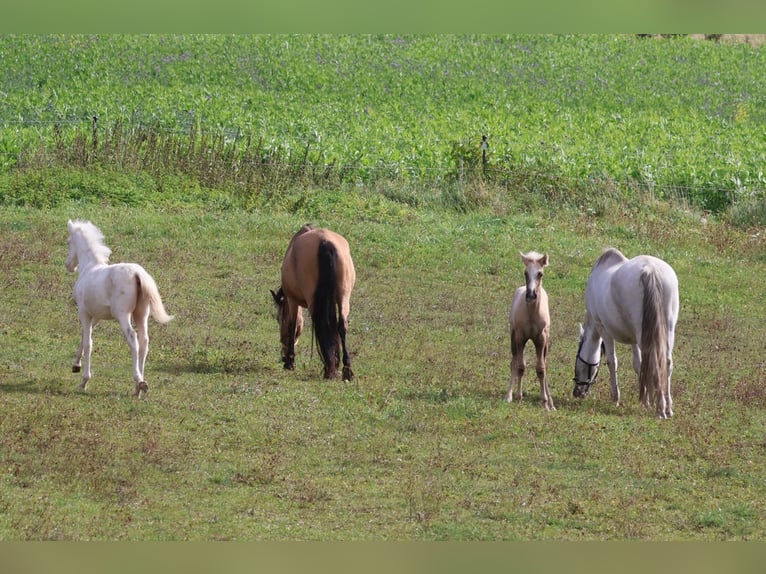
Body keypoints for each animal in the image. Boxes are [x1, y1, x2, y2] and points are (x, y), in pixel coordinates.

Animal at [65, 220, 173, 397]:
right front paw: (76, 365)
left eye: (68, 242)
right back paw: (138, 388)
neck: (89, 268)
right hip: (141, 314)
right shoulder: (96, 316)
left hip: (123, 315)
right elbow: (84, 337)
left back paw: (139, 381)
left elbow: (88, 342)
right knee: (144, 341)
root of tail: (137, 274)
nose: (68, 265)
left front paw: (84, 381)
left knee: (133, 339)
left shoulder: (84, 312)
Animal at [271, 224, 356, 380]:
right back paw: (346, 369)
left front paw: (290, 362)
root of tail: (325, 242)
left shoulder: (292, 300)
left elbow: (292, 325)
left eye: (278, 319)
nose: (282, 354)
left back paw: (329, 368)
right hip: (344, 297)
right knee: (342, 325)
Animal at [507, 251, 555, 411]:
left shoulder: (541, 339)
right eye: (525, 273)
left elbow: (541, 369)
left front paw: (545, 403)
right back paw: (508, 396)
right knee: (514, 362)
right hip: (513, 338)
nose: (531, 295)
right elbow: (520, 366)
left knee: (544, 365)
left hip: (545, 344)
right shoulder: (520, 337)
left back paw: (552, 404)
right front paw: (518, 397)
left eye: (540, 274)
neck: (532, 313)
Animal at [572, 248, 679, 418]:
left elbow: (612, 362)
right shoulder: (634, 338)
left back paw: (660, 409)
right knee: (666, 362)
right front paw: (646, 400)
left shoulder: (604, 330)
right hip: (667, 329)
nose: (577, 392)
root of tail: (650, 270)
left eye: (577, 362)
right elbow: (639, 364)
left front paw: (615, 398)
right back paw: (667, 408)